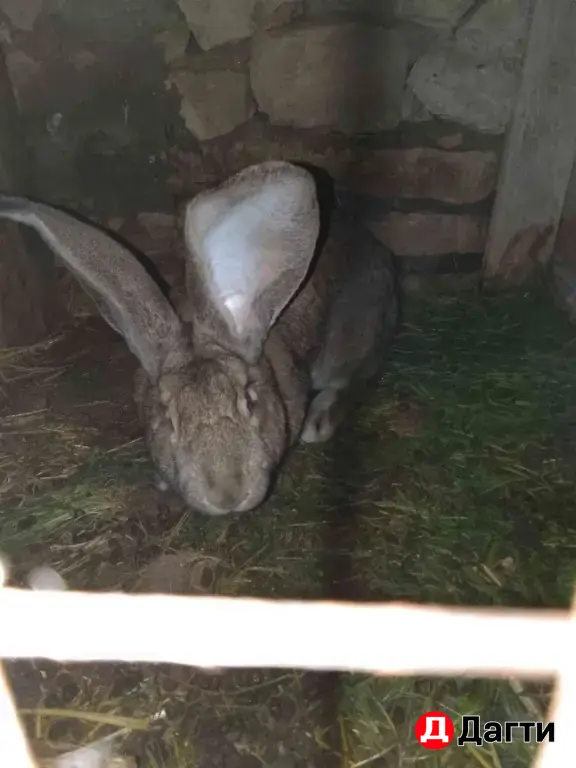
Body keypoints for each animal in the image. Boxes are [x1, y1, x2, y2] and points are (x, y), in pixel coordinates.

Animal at [0, 161, 398, 516]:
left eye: (249, 400)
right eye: (166, 416)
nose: (227, 494)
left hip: (352, 335)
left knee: (359, 376)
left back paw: (321, 419)